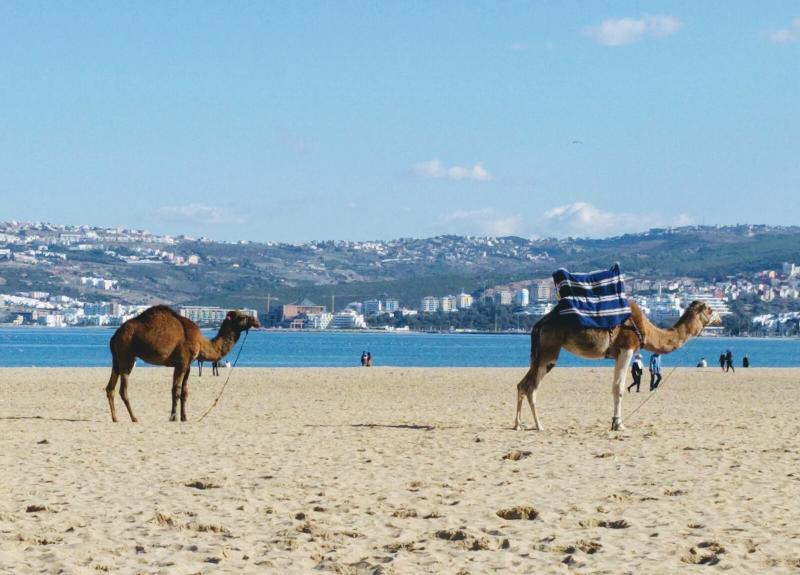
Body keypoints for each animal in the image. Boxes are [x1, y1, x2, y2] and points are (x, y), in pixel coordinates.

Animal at [106, 306, 260, 422]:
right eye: (241, 317)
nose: (256, 321)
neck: (201, 342)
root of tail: (114, 336)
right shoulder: (182, 362)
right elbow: (176, 389)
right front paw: (173, 417)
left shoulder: (187, 364)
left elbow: (184, 391)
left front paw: (184, 417)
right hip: (126, 353)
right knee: (123, 389)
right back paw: (134, 418)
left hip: (117, 359)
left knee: (110, 387)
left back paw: (115, 418)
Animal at [514, 299, 719, 432]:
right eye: (710, 309)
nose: (719, 318)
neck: (646, 330)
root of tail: (539, 324)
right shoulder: (627, 348)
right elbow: (619, 388)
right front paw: (619, 424)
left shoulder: (617, 354)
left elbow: (615, 386)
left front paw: (615, 422)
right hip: (549, 350)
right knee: (531, 386)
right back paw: (539, 426)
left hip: (539, 353)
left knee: (522, 384)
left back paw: (518, 424)